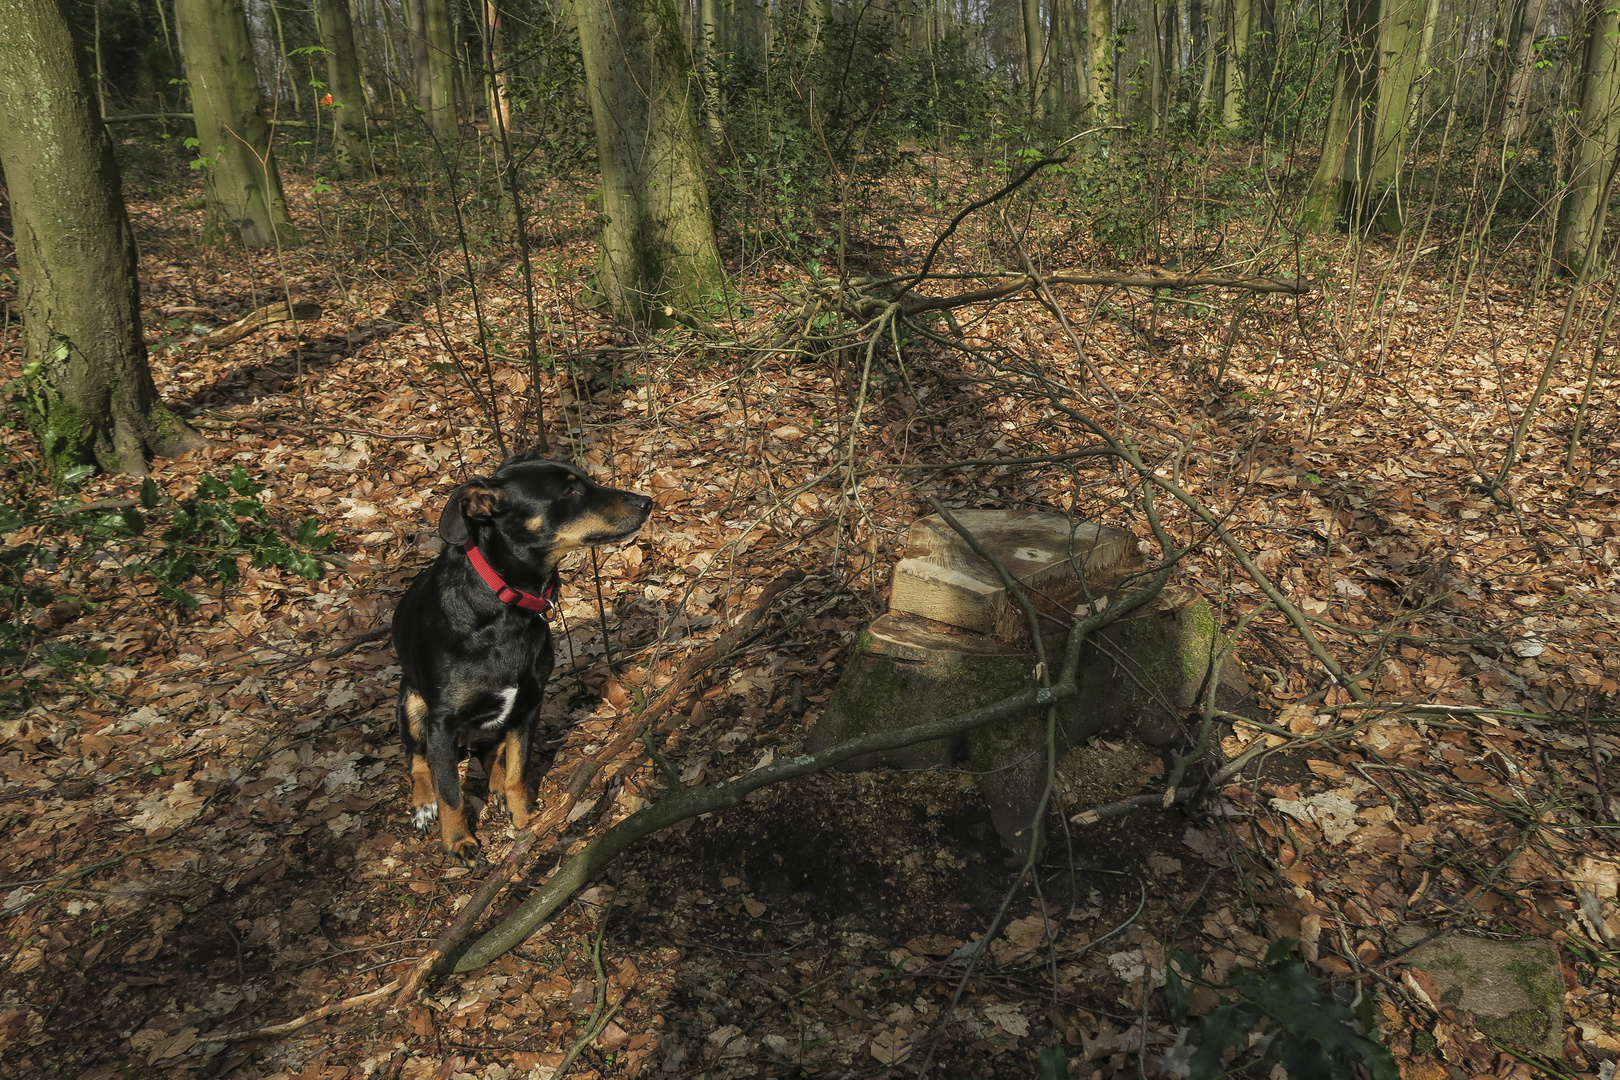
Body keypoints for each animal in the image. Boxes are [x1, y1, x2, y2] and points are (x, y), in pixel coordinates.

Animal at [392, 453, 651, 867]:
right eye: (569, 491)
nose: (646, 502)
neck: (506, 605)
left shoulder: (529, 703)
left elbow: (518, 768)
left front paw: (526, 820)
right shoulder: (442, 722)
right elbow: (450, 791)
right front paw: (458, 842)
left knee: (492, 752)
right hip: (411, 702)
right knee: (419, 760)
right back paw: (423, 803)